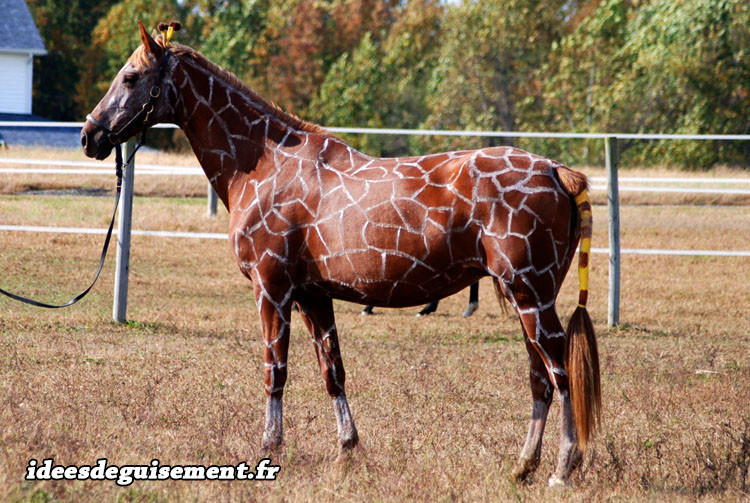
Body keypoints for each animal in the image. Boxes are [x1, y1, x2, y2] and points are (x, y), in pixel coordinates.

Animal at [79, 21, 604, 486]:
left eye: (131, 76)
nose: (90, 135)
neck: (265, 162)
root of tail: (557, 171)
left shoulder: (272, 290)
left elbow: (275, 370)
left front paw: (270, 447)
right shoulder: (314, 295)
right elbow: (333, 372)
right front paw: (348, 451)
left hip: (530, 295)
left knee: (560, 372)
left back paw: (562, 470)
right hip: (523, 296)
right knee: (539, 377)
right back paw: (523, 467)